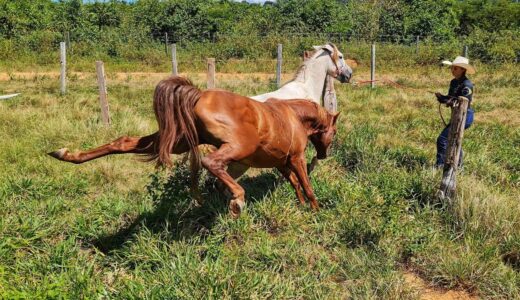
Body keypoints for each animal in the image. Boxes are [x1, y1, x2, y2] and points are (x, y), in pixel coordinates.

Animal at [50, 76, 340, 217]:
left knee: (123, 142)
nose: (324, 154)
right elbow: (306, 185)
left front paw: (302, 206)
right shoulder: (297, 158)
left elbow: (295, 185)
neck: (293, 115)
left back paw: (67, 154)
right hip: (237, 147)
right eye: (334, 132)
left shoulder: (281, 163)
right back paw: (236, 199)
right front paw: (316, 210)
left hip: (174, 142)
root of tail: (199, 94)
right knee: (211, 163)